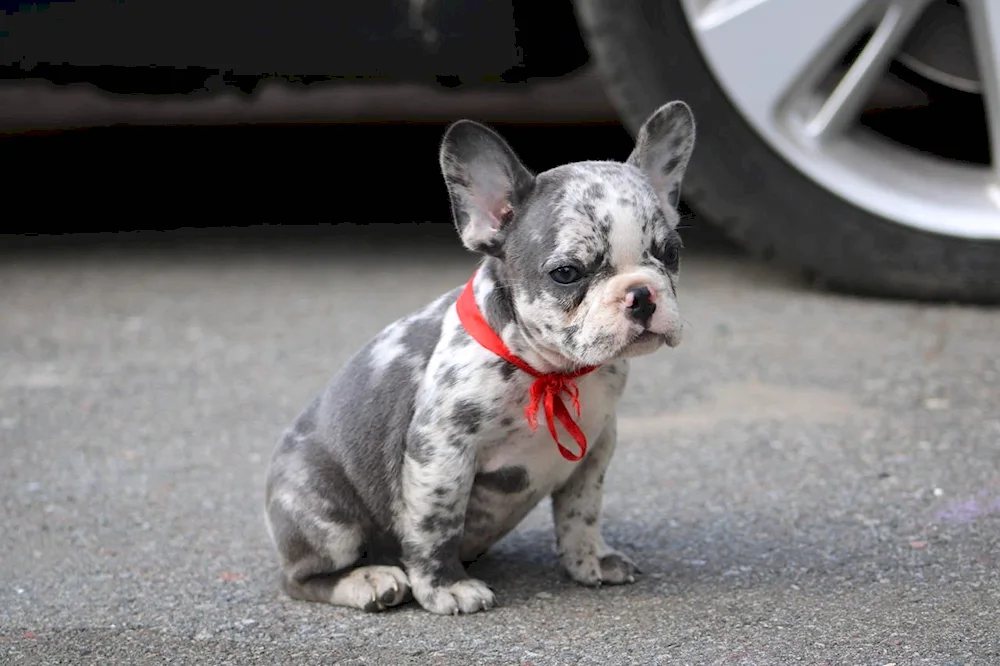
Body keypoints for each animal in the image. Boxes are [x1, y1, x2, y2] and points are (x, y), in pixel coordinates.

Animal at [270, 101, 700, 616]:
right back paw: (370, 580)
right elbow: (436, 526)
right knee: (302, 577)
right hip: (324, 513)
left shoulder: (595, 449)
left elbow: (581, 512)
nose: (641, 295)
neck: (550, 370)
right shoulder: (441, 453)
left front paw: (589, 561)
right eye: (566, 273)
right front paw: (445, 588)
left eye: (670, 254)